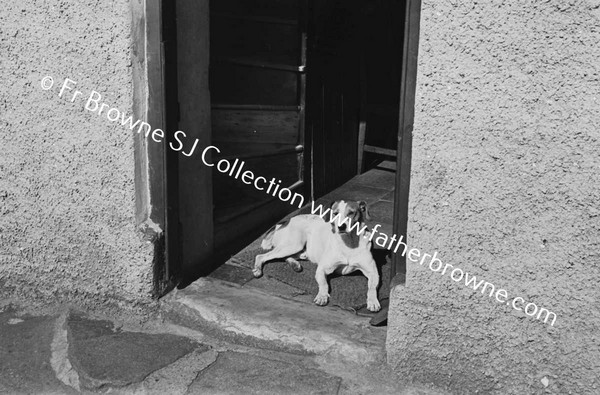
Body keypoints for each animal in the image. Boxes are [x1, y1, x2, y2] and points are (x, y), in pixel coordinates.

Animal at [252, 201, 380, 312]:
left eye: (351, 213)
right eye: (335, 213)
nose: (341, 226)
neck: (349, 243)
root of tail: (286, 221)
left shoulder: (373, 273)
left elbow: (372, 288)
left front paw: (373, 301)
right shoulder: (322, 269)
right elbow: (324, 284)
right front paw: (322, 296)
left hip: (301, 251)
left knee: (284, 257)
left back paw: (295, 265)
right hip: (293, 245)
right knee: (261, 256)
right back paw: (257, 270)